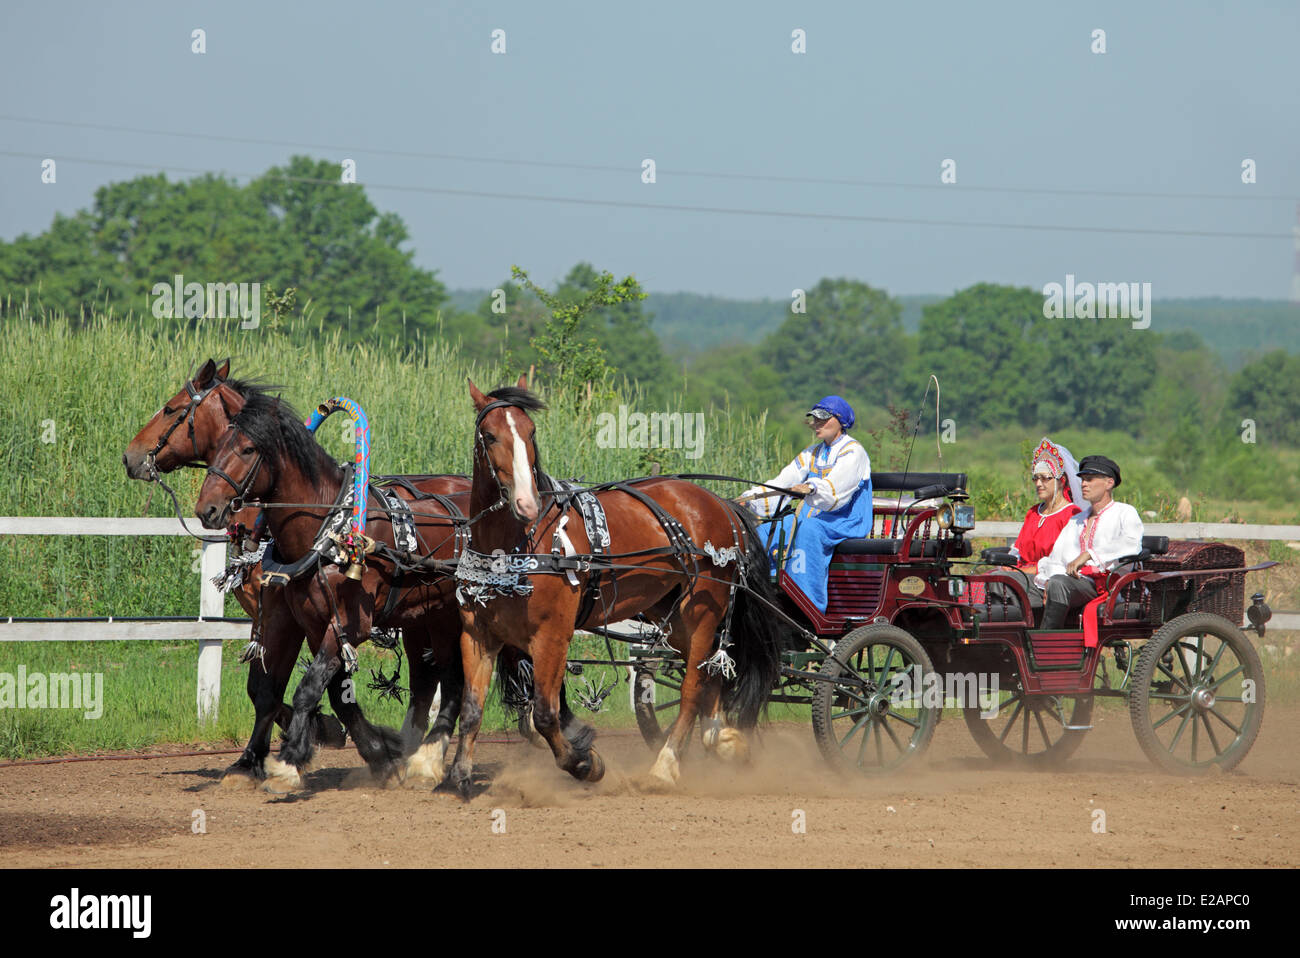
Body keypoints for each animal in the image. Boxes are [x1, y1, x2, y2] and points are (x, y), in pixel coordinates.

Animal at [447, 376, 790, 790]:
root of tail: (721, 505)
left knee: (693, 687)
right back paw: (722, 738)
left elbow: (545, 713)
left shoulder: (552, 636)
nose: (526, 503)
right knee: (710, 677)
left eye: (531, 432)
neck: (517, 543)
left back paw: (665, 764)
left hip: (702, 612)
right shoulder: (477, 635)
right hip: (674, 618)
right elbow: (471, 709)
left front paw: (585, 763)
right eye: (489, 434)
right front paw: (459, 775)